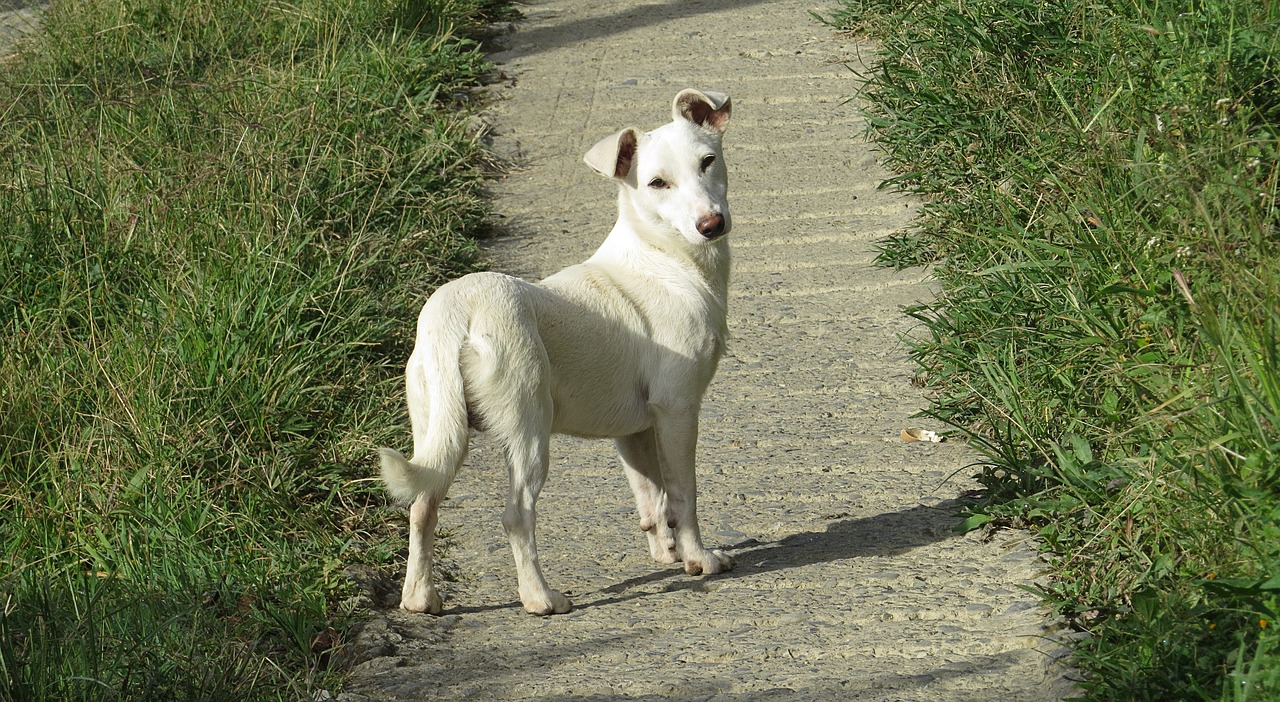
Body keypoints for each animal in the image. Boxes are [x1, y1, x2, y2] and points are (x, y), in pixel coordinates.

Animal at [378, 87, 737, 614]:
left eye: (708, 161)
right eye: (657, 183)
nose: (711, 224)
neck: (666, 258)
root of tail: (457, 306)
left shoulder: (633, 430)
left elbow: (651, 497)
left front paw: (665, 553)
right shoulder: (677, 410)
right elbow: (682, 494)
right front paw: (698, 559)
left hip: (439, 428)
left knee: (423, 506)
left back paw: (420, 598)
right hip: (529, 430)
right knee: (515, 515)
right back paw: (541, 597)